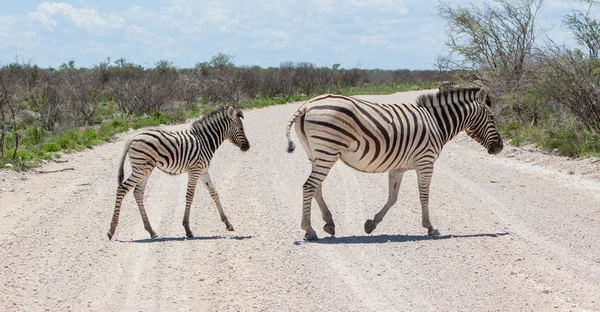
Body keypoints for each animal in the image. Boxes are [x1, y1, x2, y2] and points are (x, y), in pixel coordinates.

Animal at [106, 106, 250, 240]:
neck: (204, 142)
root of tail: (133, 136)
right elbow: (190, 195)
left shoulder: (203, 171)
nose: (247, 147)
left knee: (138, 193)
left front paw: (228, 224)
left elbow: (214, 193)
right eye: (241, 129)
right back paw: (111, 230)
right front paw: (187, 229)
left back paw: (151, 231)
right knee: (122, 188)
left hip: (144, 170)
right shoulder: (194, 170)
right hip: (141, 168)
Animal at [286, 88, 502, 241]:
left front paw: (371, 224)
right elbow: (424, 196)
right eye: (492, 117)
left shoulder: (398, 167)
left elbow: (393, 198)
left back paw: (329, 223)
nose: (500, 147)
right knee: (309, 186)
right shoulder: (425, 162)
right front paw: (430, 227)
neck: (437, 123)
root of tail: (307, 105)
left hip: (316, 154)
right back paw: (309, 230)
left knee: (316, 187)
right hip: (327, 150)